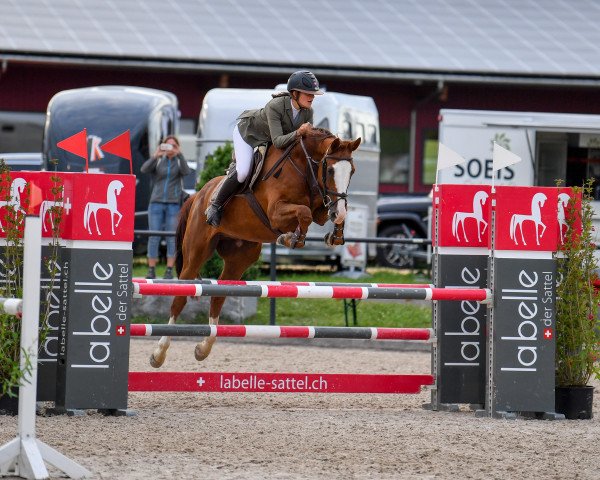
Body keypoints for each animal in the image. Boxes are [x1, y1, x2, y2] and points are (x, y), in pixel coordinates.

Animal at [150, 127, 358, 368]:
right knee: (180, 297)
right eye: (330, 170)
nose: (338, 211)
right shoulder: (276, 212)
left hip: (239, 259)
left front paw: (335, 233)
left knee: (219, 297)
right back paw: (159, 353)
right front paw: (290, 239)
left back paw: (203, 348)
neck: (304, 166)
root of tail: (198, 195)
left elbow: (319, 214)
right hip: (196, 252)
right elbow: (303, 213)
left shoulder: (322, 208)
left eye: (352, 171)